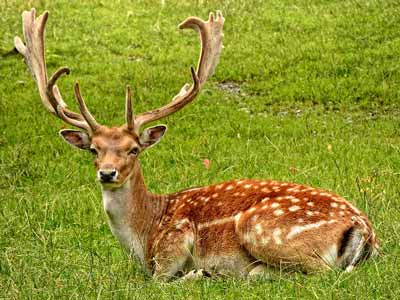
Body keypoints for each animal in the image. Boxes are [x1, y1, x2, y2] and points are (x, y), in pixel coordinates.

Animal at [14, 8, 378, 282]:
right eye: (94, 149)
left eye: (134, 149)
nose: (107, 173)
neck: (145, 235)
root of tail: (364, 229)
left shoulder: (174, 243)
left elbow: (160, 281)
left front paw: (197, 273)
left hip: (261, 227)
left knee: (320, 272)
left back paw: (240, 273)